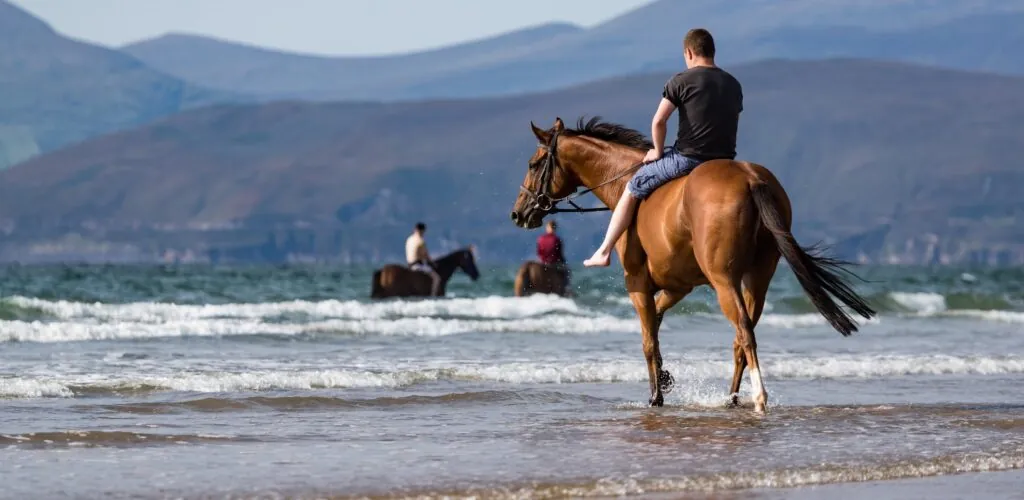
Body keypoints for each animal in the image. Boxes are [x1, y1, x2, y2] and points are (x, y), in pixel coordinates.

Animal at [509, 116, 876, 413]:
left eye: (533, 163)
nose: (518, 213)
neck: (620, 180)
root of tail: (750, 178)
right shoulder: (677, 286)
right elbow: (657, 323)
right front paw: (665, 378)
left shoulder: (637, 284)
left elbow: (648, 339)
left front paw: (656, 396)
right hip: (758, 279)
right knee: (742, 337)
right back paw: (732, 399)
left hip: (724, 279)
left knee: (744, 331)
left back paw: (759, 397)